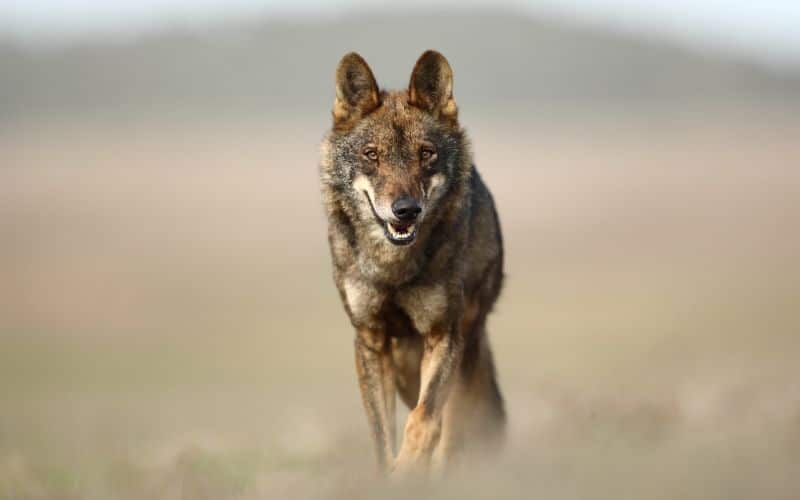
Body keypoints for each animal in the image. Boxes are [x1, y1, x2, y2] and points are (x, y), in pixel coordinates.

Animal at [319, 50, 506, 474]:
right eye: (372, 155)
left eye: (426, 154)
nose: (405, 210)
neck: (394, 269)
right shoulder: (371, 341)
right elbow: (382, 436)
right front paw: (388, 475)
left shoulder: (443, 334)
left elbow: (424, 421)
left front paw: (408, 473)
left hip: (465, 346)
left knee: (454, 424)